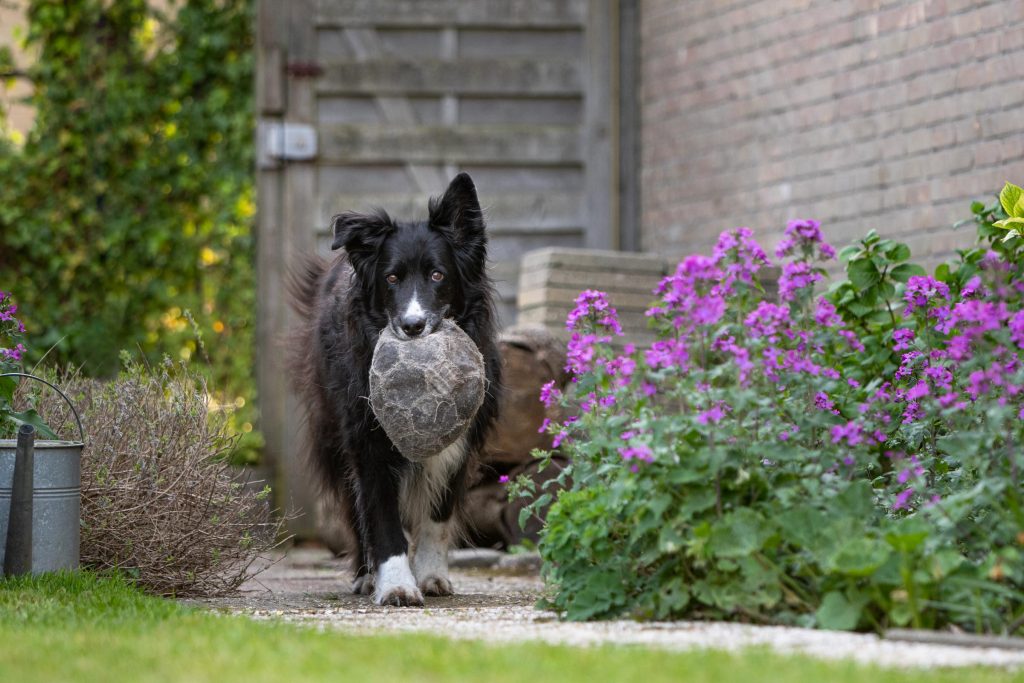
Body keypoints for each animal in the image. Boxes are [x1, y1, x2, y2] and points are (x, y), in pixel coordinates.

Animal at [288, 174, 499, 606]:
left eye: (438, 275)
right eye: (391, 279)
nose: (412, 326)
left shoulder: (460, 442)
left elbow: (438, 515)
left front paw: (431, 576)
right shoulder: (366, 439)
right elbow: (382, 518)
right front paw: (397, 585)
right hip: (331, 429)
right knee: (354, 508)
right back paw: (366, 576)